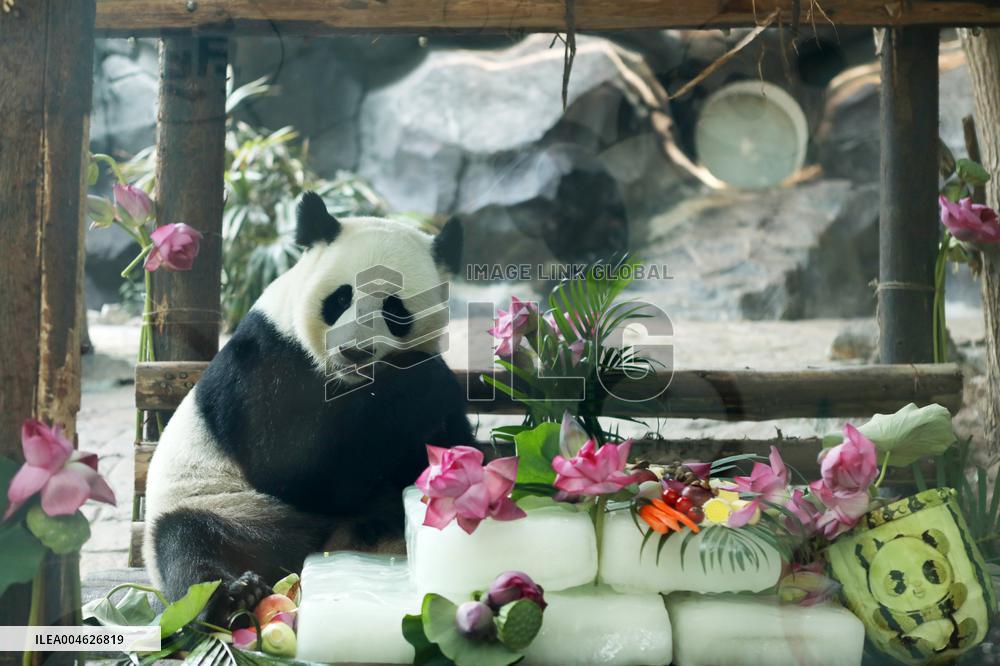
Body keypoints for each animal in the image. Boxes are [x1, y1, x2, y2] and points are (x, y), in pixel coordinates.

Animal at [142, 192, 474, 621]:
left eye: (394, 309)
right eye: (341, 297)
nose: (354, 351)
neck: (350, 381)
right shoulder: (269, 357)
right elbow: (295, 468)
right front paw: (429, 380)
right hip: (222, 504)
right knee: (185, 541)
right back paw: (231, 596)